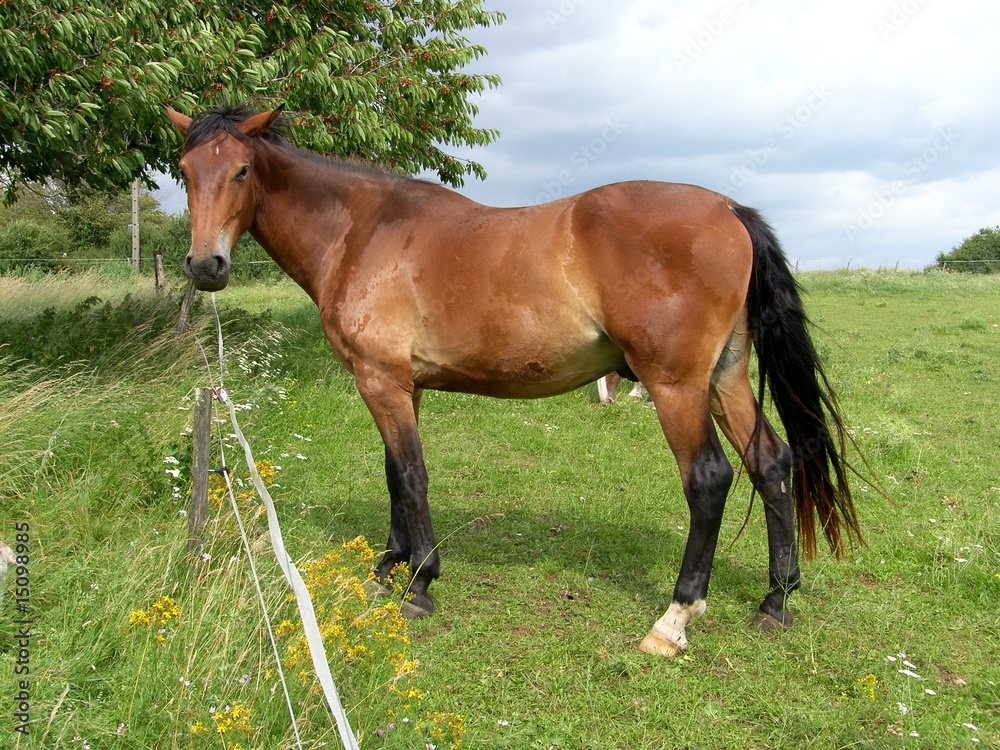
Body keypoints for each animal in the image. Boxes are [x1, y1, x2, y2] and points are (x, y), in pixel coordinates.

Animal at [165, 104, 860, 656]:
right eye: (185, 170)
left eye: (242, 171)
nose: (206, 265)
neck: (362, 231)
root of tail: (728, 209)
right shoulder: (400, 386)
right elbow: (395, 475)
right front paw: (389, 566)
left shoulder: (381, 381)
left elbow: (411, 476)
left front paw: (419, 582)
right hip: (725, 380)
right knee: (771, 462)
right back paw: (775, 600)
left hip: (677, 389)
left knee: (710, 480)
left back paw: (673, 620)